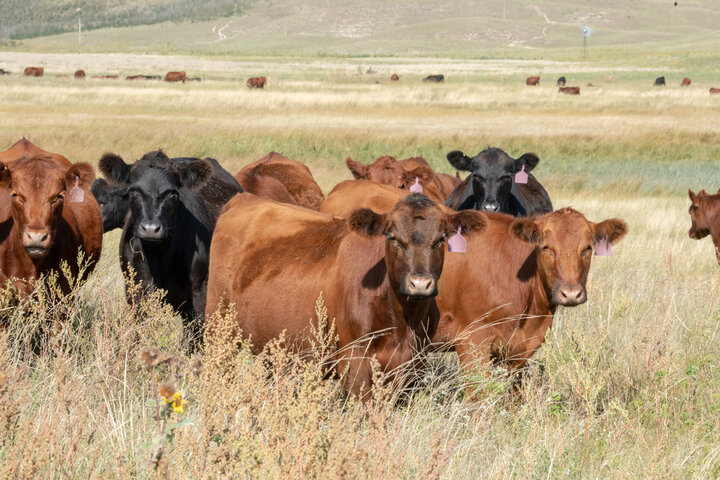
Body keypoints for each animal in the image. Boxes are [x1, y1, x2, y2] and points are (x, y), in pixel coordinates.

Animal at [97, 150, 243, 348]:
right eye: (134, 190)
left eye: (172, 193)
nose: (151, 228)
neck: (159, 256)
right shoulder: (136, 291)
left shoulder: (201, 292)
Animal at [207, 191, 490, 398]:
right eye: (392, 237)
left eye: (441, 239)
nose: (420, 284)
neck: (402, 321)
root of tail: (243, 198)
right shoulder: (355, 362)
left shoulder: (413, 364)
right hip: (219, 332)